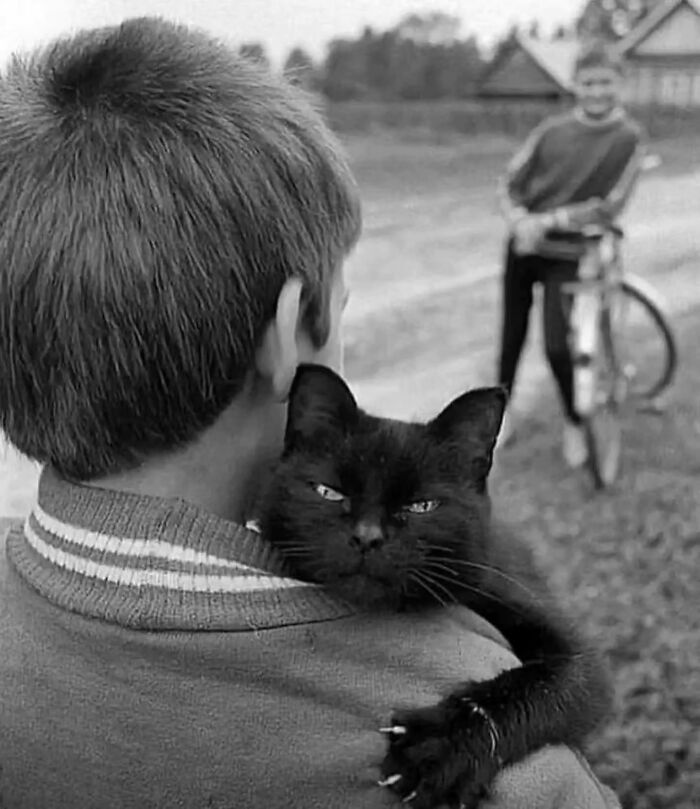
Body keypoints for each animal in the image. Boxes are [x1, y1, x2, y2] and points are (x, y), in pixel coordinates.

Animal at [260, 364, 608, 808]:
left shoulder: (572, 651)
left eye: (421, 506)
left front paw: (440, 749)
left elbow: (545, 685)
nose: (368, 536)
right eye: (328, 491)